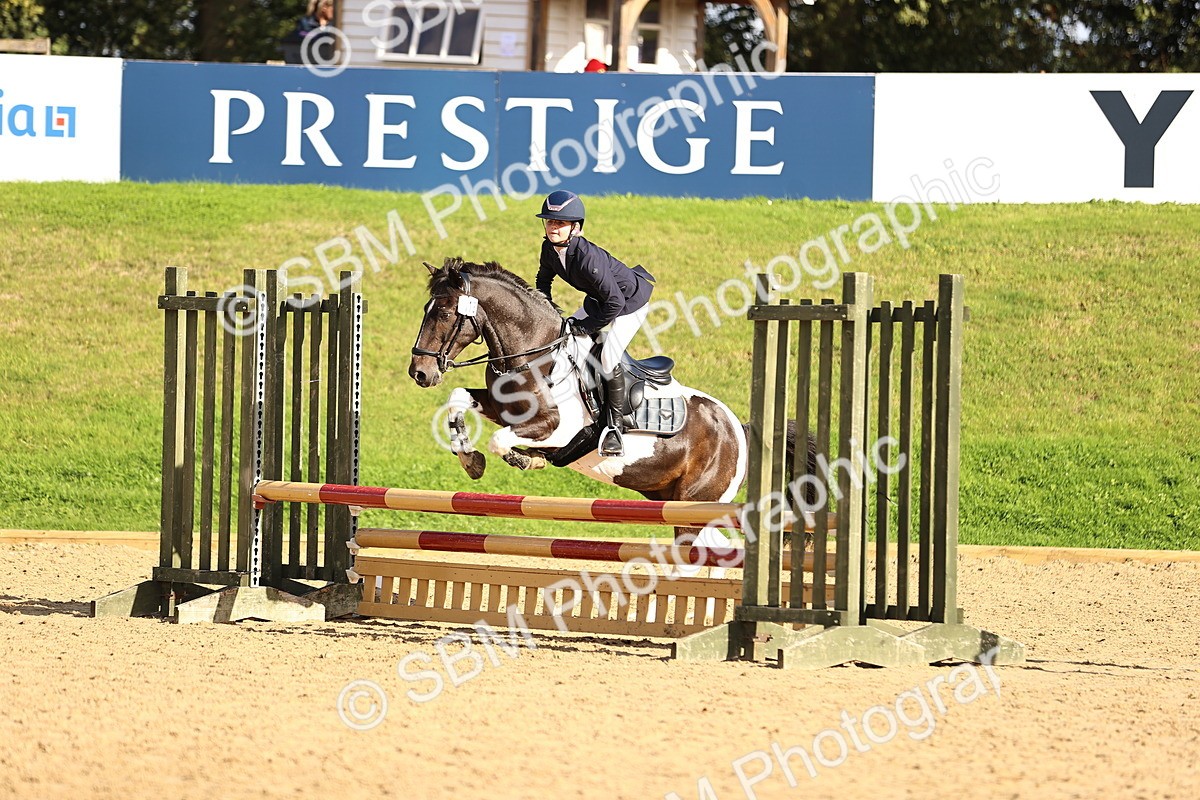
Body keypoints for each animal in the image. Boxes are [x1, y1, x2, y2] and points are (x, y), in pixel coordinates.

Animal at [408, 257, 811, 546]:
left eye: (444, 313)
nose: (419, 373)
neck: (534, 354)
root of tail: (737, 427)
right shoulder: (501, 408)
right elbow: (457, 400)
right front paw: (470, 460)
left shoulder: (560, 429)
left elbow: (500, 439)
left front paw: (525, 460)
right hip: (670, 500)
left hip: (696, 507)